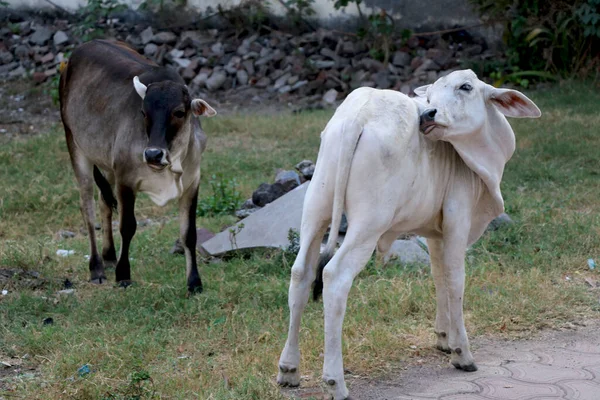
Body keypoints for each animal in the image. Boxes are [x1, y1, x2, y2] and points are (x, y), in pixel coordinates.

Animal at [58, 39, 217, 292]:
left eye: (179, 112)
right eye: (143, 112)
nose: (153, 154)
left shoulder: (192, 182)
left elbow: (189, 233)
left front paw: (194, 282)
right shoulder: (125, 180)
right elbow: (128, 226)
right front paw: (123, 274)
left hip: (107, 164)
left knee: (104, 202)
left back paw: (109, 255)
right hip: (74, 143)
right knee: (87, 207)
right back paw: (97, 267)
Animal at [278, 70, 540, 398]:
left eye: (465, 87)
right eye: (430, 96)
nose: (428, 114)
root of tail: (359, 114)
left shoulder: (436, 233)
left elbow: (439, 276)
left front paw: (444, 338)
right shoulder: (458, 218)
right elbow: (456, 281)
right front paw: (462, 353)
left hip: (316, 208)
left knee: (301, 273)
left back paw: (289, 369)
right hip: (368, 223)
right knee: (334, 277)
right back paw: (335, 381)